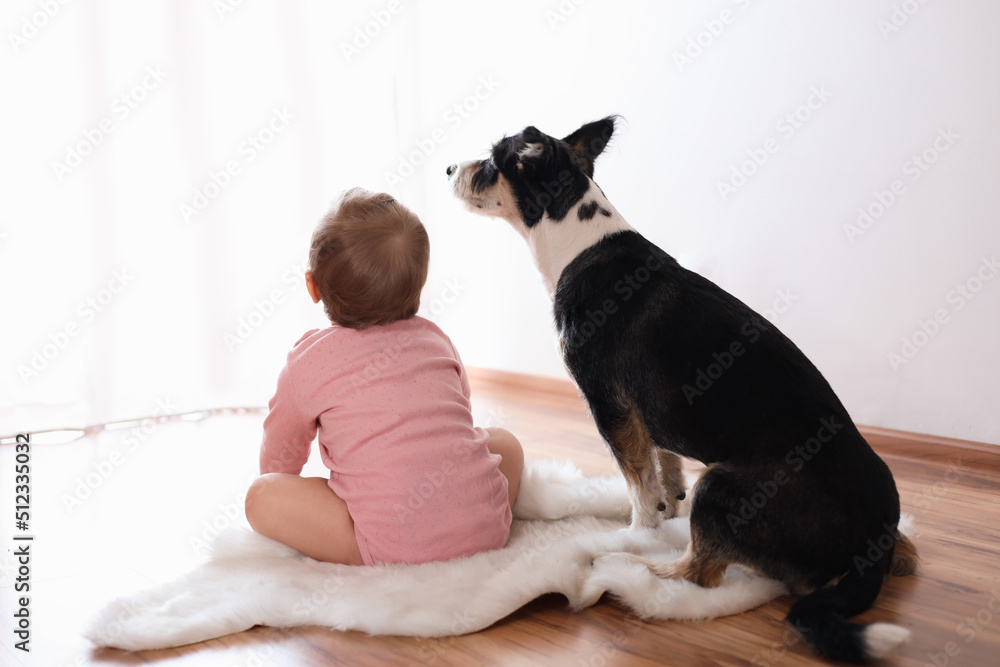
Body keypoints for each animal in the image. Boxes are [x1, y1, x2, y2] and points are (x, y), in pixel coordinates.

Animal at [450, 117, 916, 664]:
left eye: (489, 163)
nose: (447, 169)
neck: (578, 241)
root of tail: (874, 543)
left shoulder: (610, 406)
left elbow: (638, 484)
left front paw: (638, 534)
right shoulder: (648, 413)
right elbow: (662, 468)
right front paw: (666, 510)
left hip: (718, 487)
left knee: (700, 574)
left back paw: (623, 565)